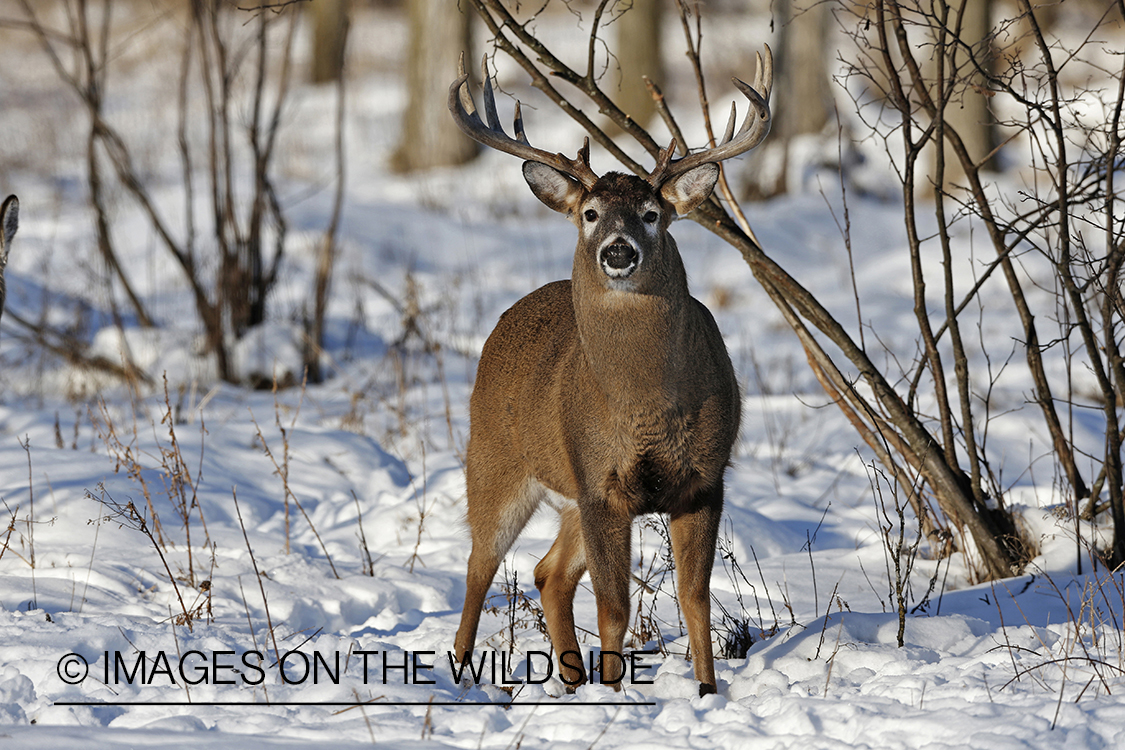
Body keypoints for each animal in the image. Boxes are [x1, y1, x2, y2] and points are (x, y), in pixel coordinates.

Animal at [447, 51, 774, 697]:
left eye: (652, 214)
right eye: (592, 213)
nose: (618, 251)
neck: (643, 407)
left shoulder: (704, 479)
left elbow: (694, 597)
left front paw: (705, 692)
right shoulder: (601, 482)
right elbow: (615, 607)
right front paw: (617, 692)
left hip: (568, 494)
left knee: (547, 573)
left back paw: (572, 682)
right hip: (495, 457)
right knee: (479, 566)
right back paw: (461, 674)